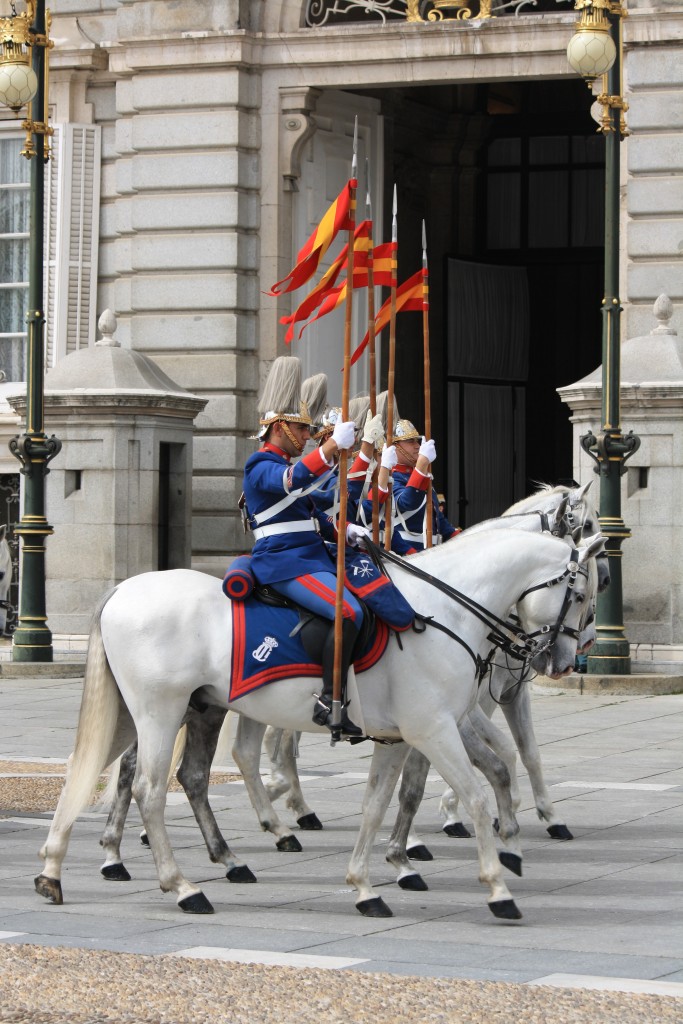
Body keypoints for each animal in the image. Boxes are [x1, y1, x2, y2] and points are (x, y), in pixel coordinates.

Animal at [37, 528, 602, 921]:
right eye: (581, 595)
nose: (562, 660)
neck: (440, 612)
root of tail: (122, 591)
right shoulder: (435, 729)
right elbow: (478, 797)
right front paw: (498, 886)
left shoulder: (400, 738)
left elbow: (379, 806)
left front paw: (368, 885)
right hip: (159, 711)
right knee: (149, 790)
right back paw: (183, 886)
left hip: (162, 710)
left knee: (103, 771)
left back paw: (56, 869)